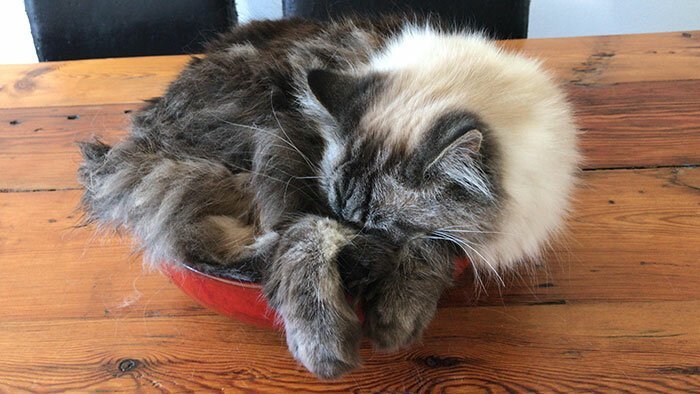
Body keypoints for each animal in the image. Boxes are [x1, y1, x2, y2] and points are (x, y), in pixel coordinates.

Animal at [76, 16, 580, 378]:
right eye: (336, 209)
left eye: (379, 228)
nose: (356, 257)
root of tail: (143, 137)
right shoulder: (289, 163)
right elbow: (306, 239)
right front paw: (324, 343)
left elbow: (432, 243)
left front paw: (395, 319)